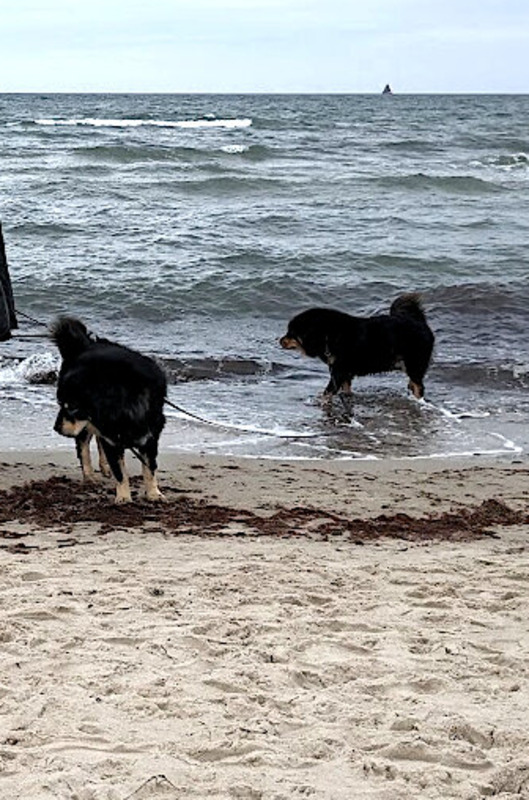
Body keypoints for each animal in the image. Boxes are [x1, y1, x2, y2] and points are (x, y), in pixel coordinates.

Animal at [51, 317, 167, 503]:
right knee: (83, 446)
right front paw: (124, 496)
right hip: (86, 426)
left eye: (73, 407)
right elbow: (120, 472)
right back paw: (89, 476)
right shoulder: (111, 439)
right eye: (62, 404)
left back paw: (104, 467)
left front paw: (153, 493)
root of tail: (85, 345)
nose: (56, 428)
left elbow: (150, 468)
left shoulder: (150, 437)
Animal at [279, 293, 434, 400]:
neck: (327, 336)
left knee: (419, 386)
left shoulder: (339, 372)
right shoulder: (343, 374)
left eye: (291, 333)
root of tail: (420, 322)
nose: (280, 340)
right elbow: (345, 390)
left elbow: (327, 392)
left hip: (414, 365)